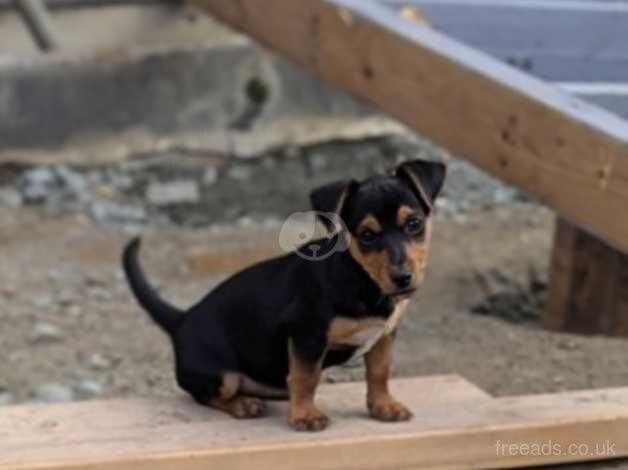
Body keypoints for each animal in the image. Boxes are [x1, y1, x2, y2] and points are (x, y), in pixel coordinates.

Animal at [124, 160, 446, 432]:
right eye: (367, 236)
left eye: (414, 224)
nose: (403, 278)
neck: (361, 278)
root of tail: (182, 319)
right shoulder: (307, 333)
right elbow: (305, 376)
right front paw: (305, 415)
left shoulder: (383, 336)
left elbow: (379, 372)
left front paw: (384, 407)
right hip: (221, 375)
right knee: (206, 394)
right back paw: (243, 404)